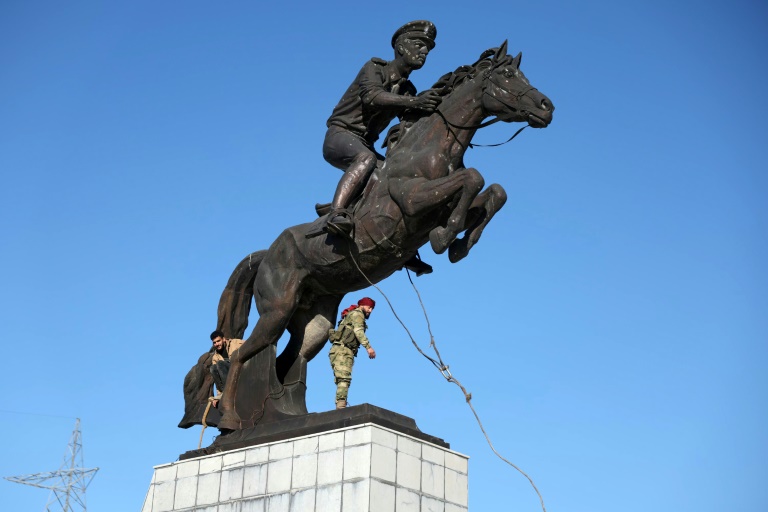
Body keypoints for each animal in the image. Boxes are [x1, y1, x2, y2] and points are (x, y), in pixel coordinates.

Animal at [210, 41, 556, 432]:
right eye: (508, 75)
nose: (547, 107)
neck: (430, 150)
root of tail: (266, 252)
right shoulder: (412, 199)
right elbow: (475, 178)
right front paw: (446, 238)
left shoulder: (441, 202)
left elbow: (494, 191)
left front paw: (457, 244)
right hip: (277, 310)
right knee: (243, 354)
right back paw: (232, 420)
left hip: (314, 318)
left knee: (290, 361)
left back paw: (290, 418)